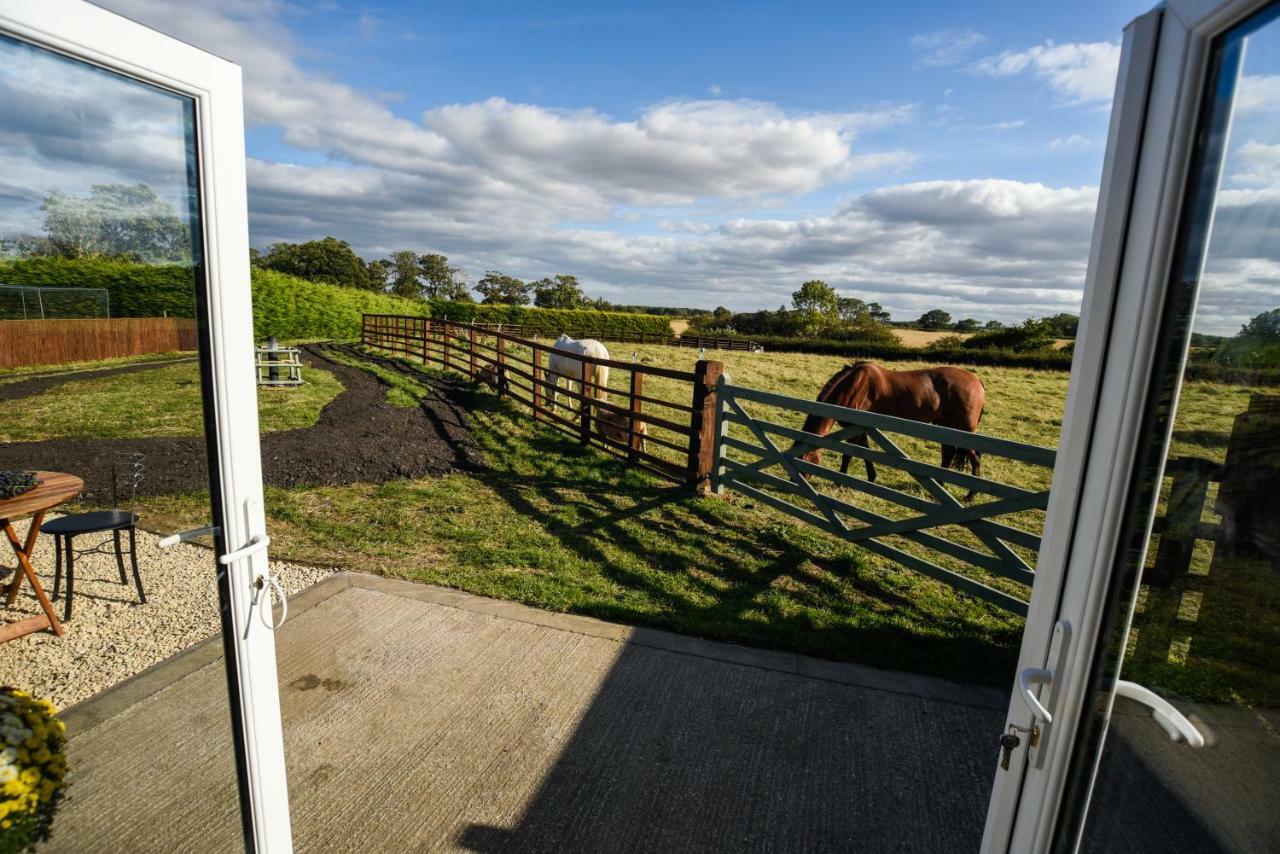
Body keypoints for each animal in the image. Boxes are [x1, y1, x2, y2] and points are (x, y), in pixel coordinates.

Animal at [798, 361, 988, 494]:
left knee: (975, 458)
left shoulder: (856, 427)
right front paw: (871, 477)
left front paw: (839, 482)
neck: (852, 387)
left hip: (964, 430)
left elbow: (849, 454)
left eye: (804, 461)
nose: (797, 483)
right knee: (948, 454)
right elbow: (864, 451)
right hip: (945, 427)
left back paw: (971, 494)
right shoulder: (862, 428)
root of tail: (977, 381)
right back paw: (940, 485)